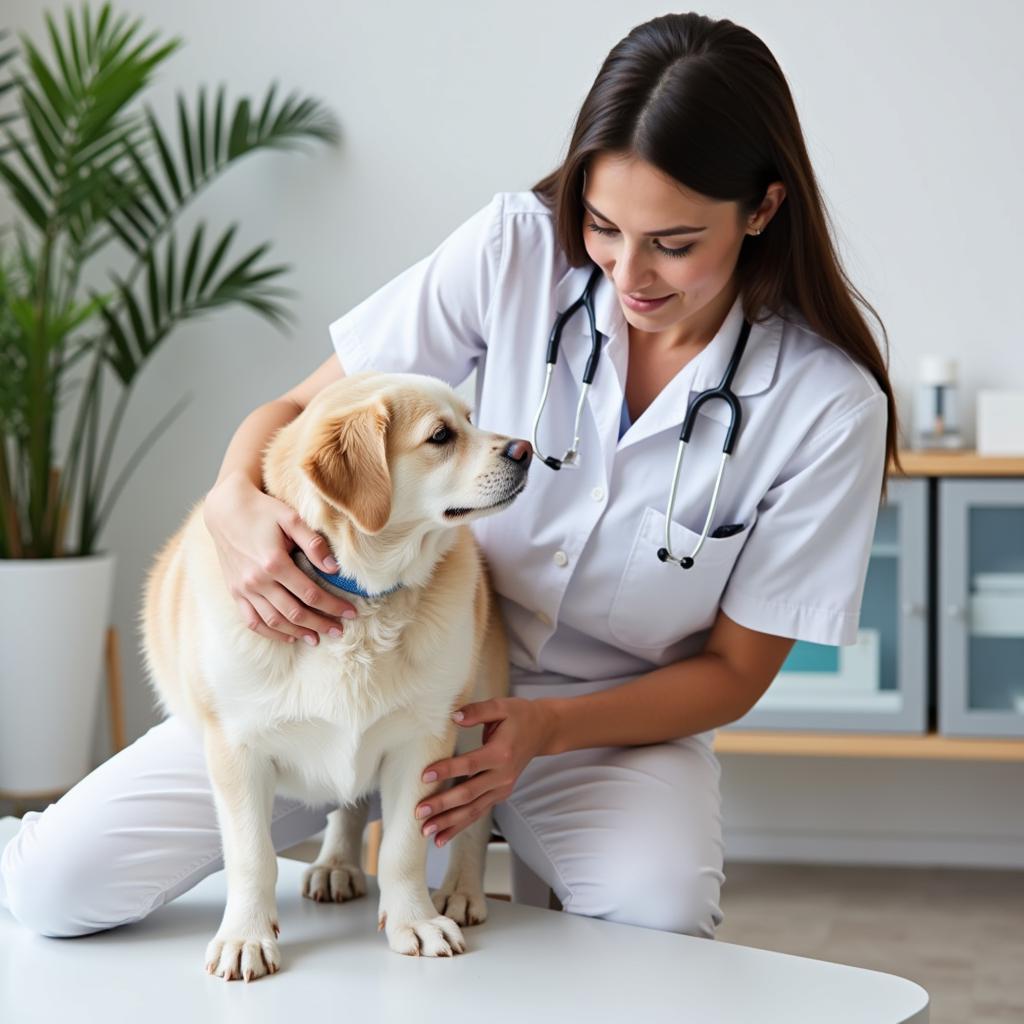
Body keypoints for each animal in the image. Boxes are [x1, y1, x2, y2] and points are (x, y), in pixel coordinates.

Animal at [140, 368, 532, 974]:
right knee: (347, 805)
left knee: (469, 820)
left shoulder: (424, 740)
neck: (362, 601)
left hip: (474, 728)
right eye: (441, 436)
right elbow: (252, 856)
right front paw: (246, 936)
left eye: (471, 419)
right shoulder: (235, 749)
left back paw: (462, 890)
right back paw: (336, 865)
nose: (527, 450)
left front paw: (414, 921)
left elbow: (402, 849)